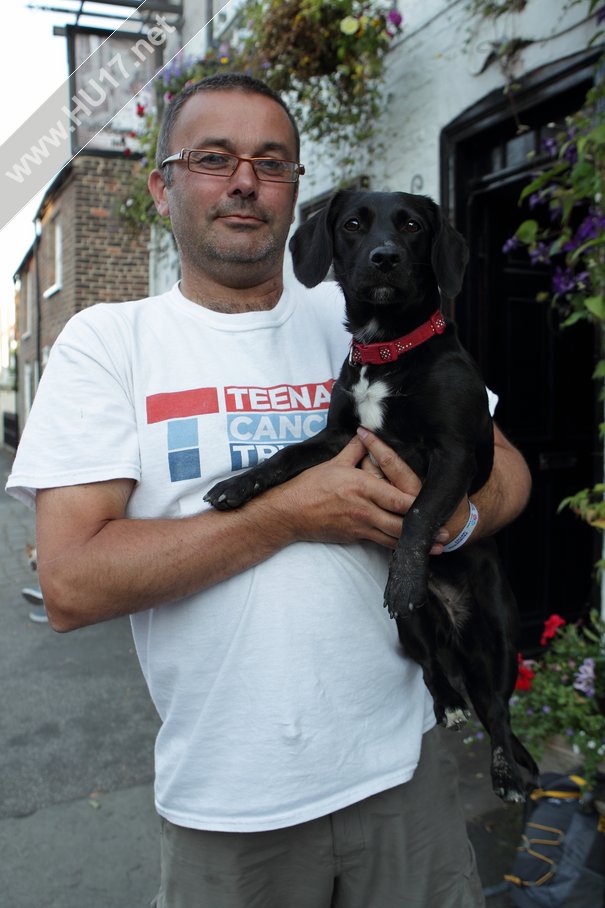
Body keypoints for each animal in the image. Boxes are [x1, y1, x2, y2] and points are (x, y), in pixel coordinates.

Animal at [206, 188, 536, 800]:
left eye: (411, 226)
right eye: (354, 224)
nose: (385, 258)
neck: (388, 351)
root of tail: (451, 617)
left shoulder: (452, 453)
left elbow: (420, 513)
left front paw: (404, 577)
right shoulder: (340, 438)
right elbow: (285, 458)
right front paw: (238, 486)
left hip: (500, 640)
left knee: (499, 711)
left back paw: (505, 770)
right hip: (412, 632)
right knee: (434, 671)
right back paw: (449, 705)